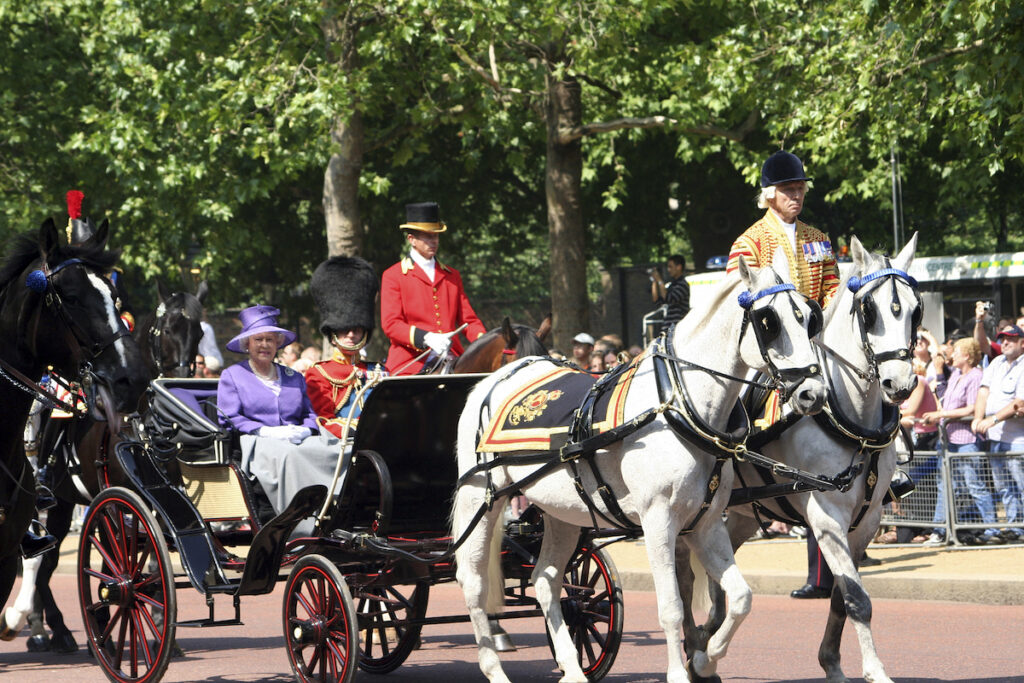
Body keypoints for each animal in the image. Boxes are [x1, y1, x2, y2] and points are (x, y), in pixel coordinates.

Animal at [452, 258, 827, 683]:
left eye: (809, 318)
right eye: (769, 322)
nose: (813, 393)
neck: (679, 406)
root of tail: (499, 376)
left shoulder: (706, 524)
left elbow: (741, 597)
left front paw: (706, 658)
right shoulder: (658, 521)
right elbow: (672, 607)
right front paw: (681, 671)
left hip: (562, 513)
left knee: (545, 579)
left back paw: (573, 667)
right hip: (481, 500)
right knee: (474, 582)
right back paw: (494, 666)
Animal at [679, 235, 921, 683]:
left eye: (916, 309)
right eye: (870, 310)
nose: (900, 383)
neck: (850, 418)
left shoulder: (867, 522)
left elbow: (844, 597)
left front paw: (832, 664)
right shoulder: (826, 519)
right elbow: (858, 599)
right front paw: (874, 670)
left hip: (737, 515)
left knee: (719, 576)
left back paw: (707, 641)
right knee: (685, 577)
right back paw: (692, 648)